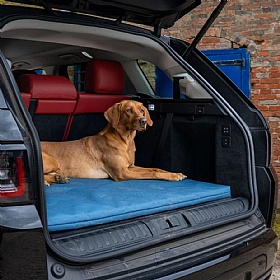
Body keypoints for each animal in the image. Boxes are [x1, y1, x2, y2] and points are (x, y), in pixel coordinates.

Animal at [41, 99, 186, 185]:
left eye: (142, 110)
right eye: (128, 110)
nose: (143, 121)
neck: (125, 140)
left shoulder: (130, 166)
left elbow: (154, 168)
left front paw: (174, 173)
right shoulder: (122, 172)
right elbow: (152, 173)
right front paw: (172, 176)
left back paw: (58, 178)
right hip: (52, 161)